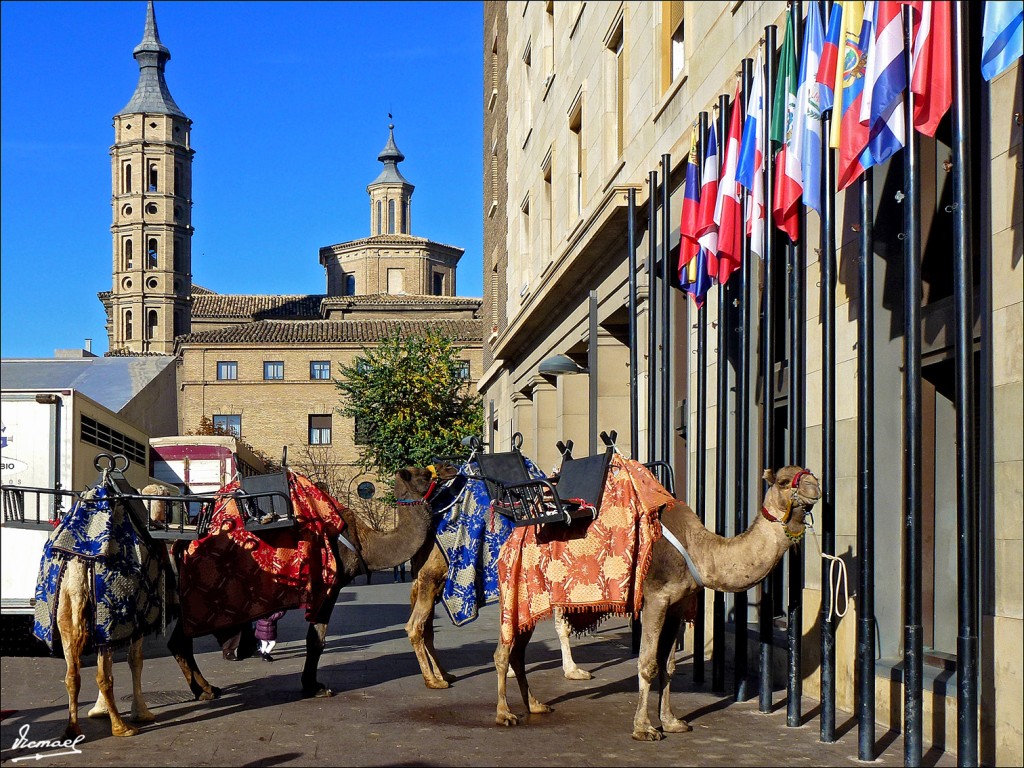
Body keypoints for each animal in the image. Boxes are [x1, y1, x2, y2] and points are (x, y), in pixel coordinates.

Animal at [491, 466, 819, 741]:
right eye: (783, 481)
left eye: (809, 472)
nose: (815, 487)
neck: (700, 551)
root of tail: (509, 540)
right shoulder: (656, 600)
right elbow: (647, 663)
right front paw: (644, 728)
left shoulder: (677, 605)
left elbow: (668, 665)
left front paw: (672, 722)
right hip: (515, 591)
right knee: (503, 652)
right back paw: (504, 714)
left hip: (530, 603)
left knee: (518, 651)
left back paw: (535, 706)